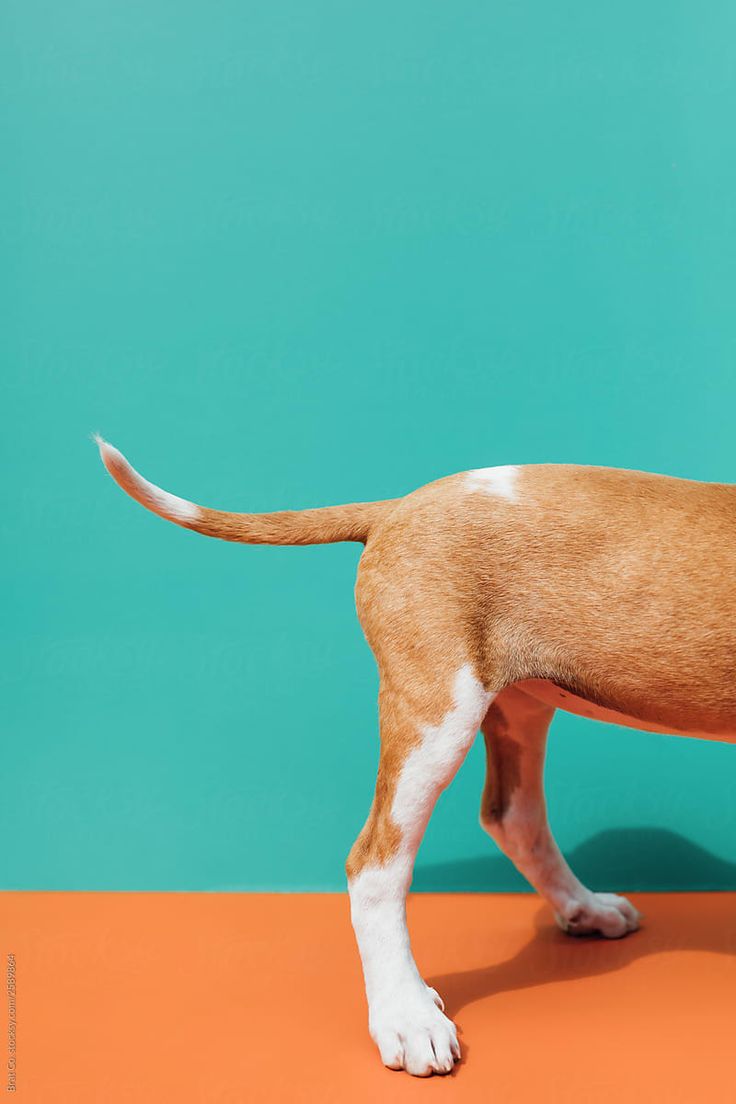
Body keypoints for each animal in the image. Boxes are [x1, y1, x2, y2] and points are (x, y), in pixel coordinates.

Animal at [94, 439, 736, 1077]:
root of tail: (394, 508)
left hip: (518, 704)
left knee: (514, 817)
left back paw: (583, 908)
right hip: (436, 708)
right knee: (376, 862)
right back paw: (406, 1016)